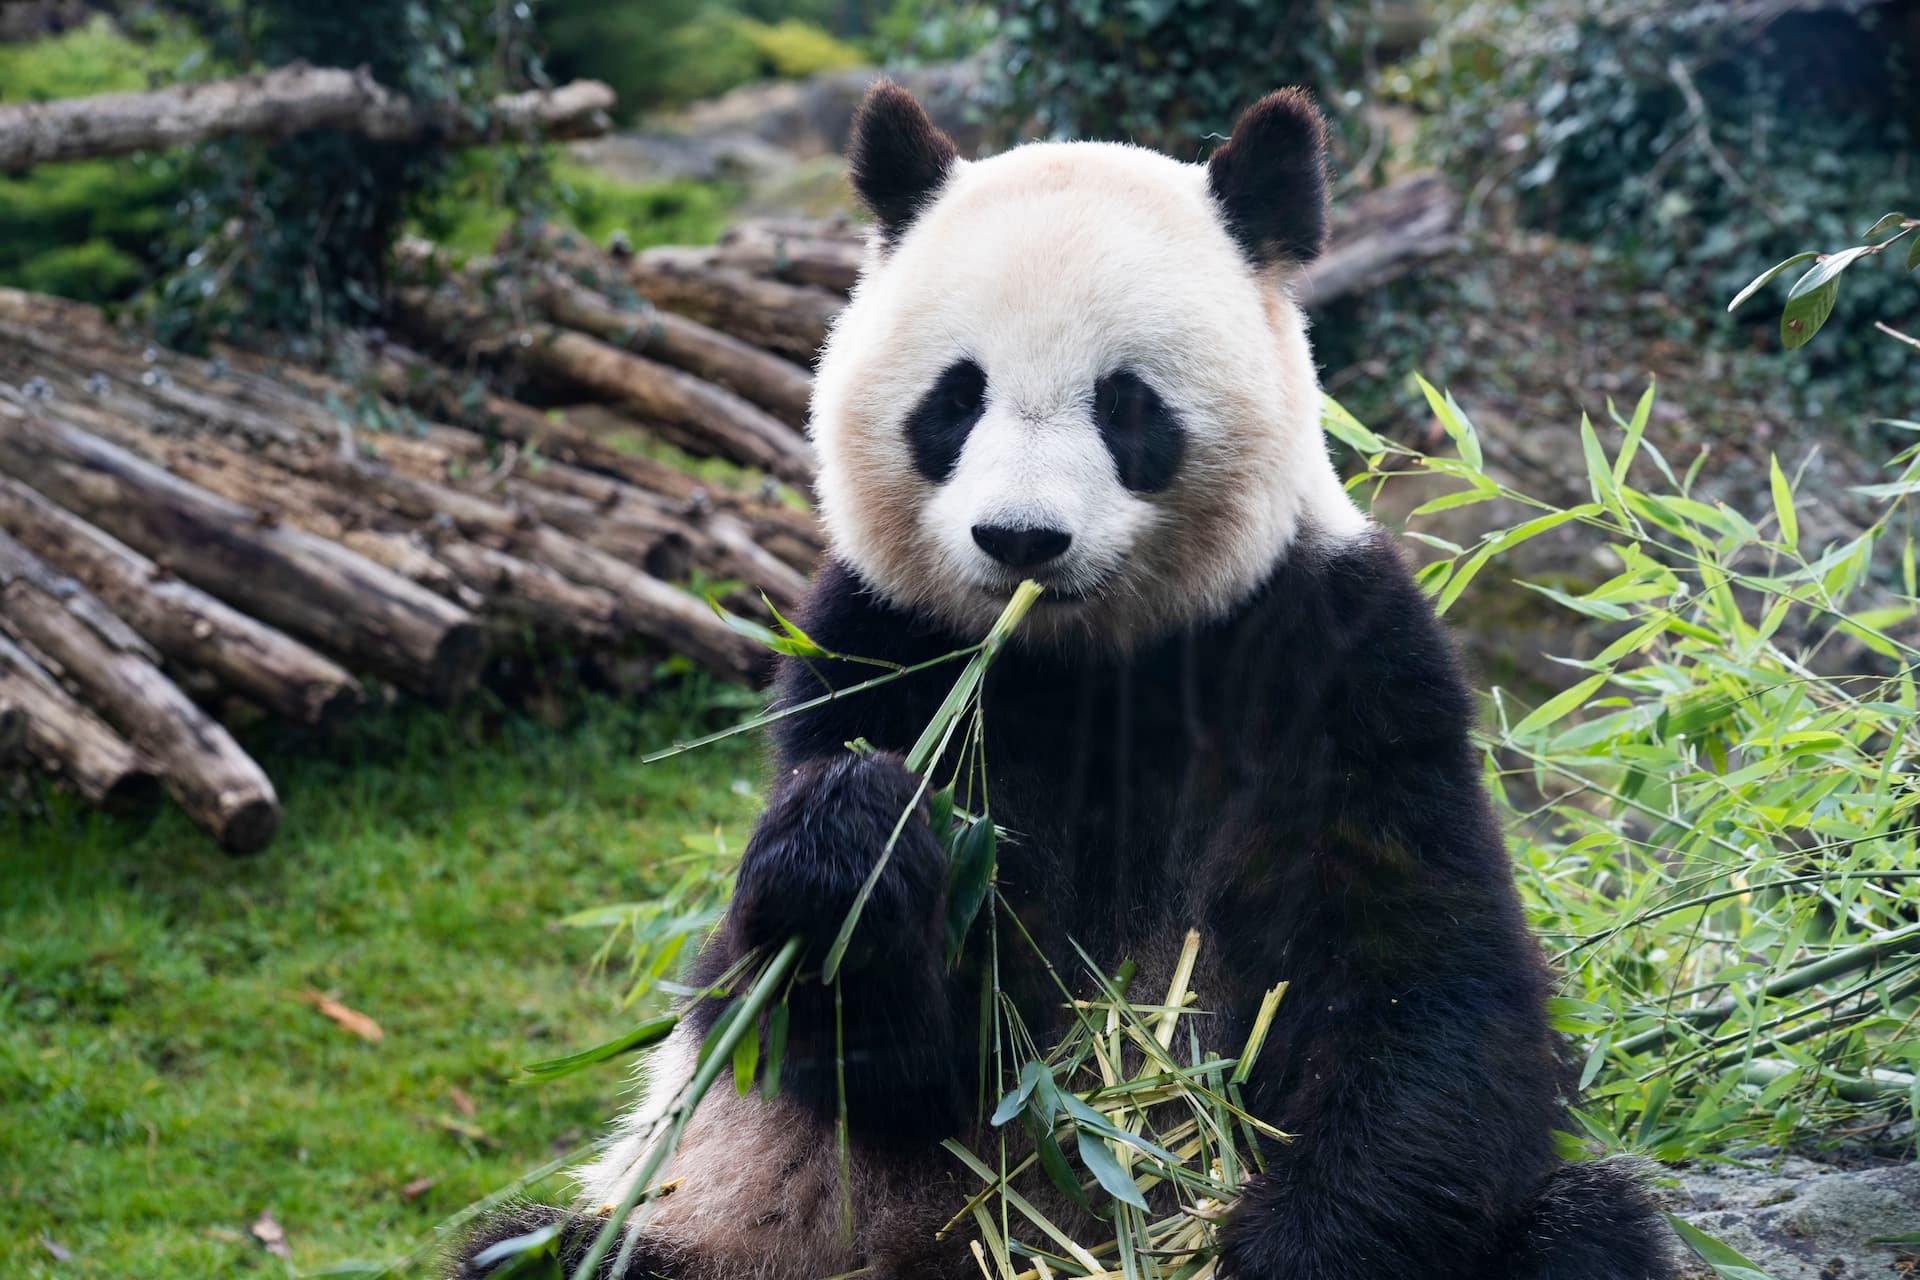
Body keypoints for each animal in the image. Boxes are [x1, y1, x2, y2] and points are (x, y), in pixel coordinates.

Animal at [456, 83, 1677, 1280]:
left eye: (1127, 402)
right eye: (955, 399)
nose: (1020, 540)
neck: (1087, 659)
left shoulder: (1336, 658)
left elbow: (1419, 983)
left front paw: (1278, 1248)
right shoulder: (879, 647)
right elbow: (887, 1058)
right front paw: (855, 844)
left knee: (1588, 1228)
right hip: (731, 1226)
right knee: (536, 1251)